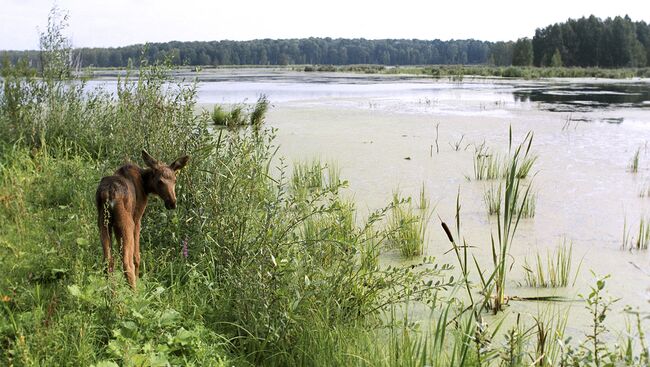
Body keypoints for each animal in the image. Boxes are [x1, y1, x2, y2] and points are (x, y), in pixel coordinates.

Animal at [95, 151, 189, 288]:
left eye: (175, 180)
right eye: (160, 181)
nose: (172, 203)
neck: (146, 186)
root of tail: (109, 194)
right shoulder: (137, 218)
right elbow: (136, 256)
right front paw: (139, 279)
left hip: (103, 222)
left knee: (108, 261)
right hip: (126, 224)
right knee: (127, 262)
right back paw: (134, 291)